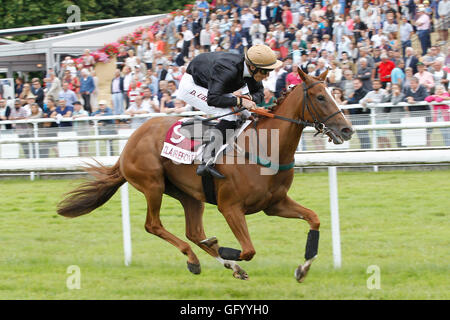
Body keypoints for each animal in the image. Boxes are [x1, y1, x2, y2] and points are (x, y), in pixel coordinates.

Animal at [57, 70, 352, 282]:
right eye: (321, 97)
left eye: (333, 93)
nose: (347, 129)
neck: (265, 146)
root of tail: (129, 143)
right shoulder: (230, 207)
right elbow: (248, 250)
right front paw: (221, 248)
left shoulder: (275, 203)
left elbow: (314, 219)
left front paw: (303, 268)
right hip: (152, 184)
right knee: (154, 225)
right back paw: (195, 259)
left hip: (189, 195)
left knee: (193, 231)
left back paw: (226, 263)